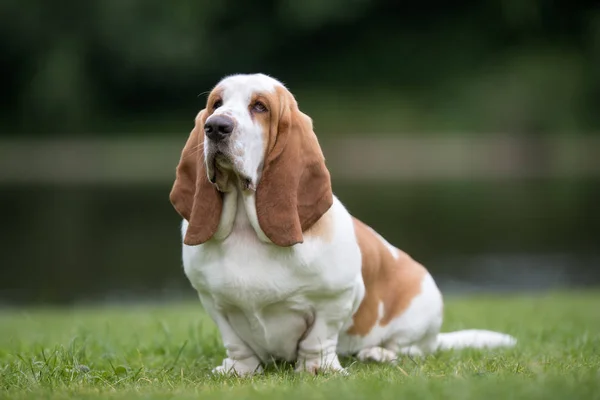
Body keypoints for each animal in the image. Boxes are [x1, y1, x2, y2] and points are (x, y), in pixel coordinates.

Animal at [170, 72, 516, 376]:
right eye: (216, 104)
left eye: (260, 106)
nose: (216, 127)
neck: (246, 227)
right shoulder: (214, 303)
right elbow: (237, 343)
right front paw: (238, 370)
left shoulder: (335, 298)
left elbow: (318, 339)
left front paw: (317, 370)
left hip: (421, 311)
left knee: (410, 348)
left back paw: (378, 353)